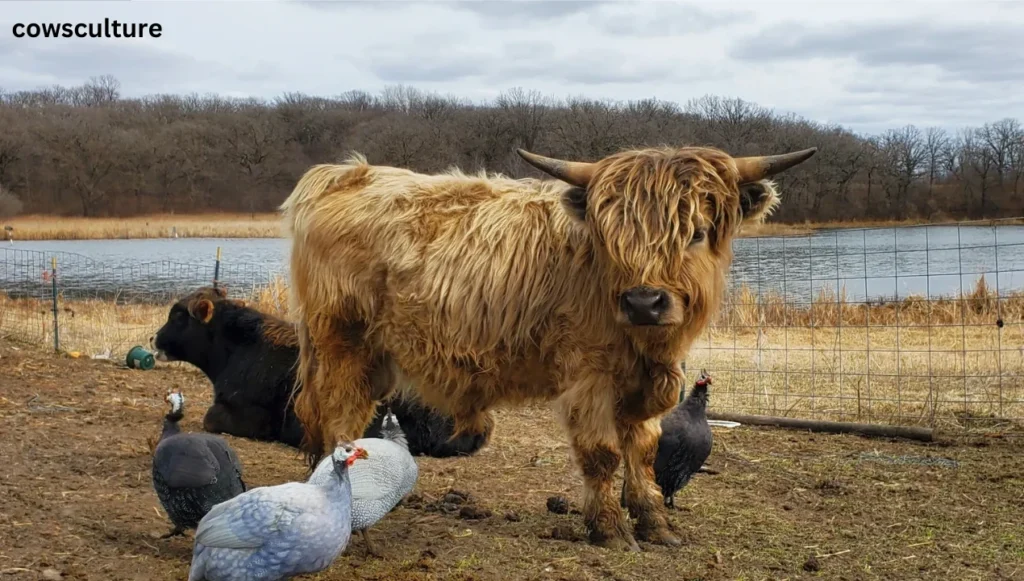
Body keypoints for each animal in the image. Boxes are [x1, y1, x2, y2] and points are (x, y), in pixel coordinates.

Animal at [278, 144, 815, 549]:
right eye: (611, 239)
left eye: (698, 234)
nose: (644, 301)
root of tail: (343, 173)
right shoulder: (589, 375)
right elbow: (602, 453)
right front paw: (610, 531)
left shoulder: (643, 385)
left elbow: (643, 452)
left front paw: (654, 523)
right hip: (342, 345)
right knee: (339, 419)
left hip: (376, 357)